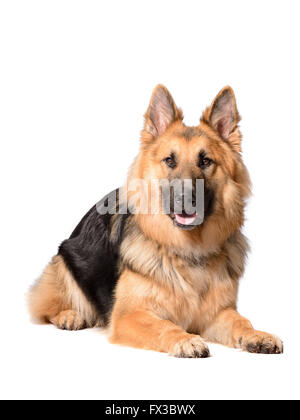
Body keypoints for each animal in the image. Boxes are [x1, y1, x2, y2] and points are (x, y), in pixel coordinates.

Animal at [28, 85, 284, 358]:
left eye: (205, 161)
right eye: (170, 160)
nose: (186, 200)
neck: (187, 251)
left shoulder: (217, 314)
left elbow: (240, 321)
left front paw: (257, 335)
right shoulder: (129, 316)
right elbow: (164, 325)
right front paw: (185, 339)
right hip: (64, 261)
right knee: (45, 305)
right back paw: (69, 315)